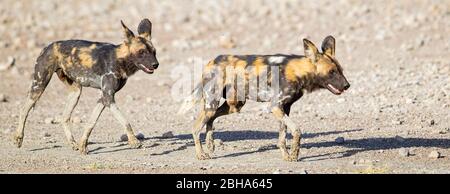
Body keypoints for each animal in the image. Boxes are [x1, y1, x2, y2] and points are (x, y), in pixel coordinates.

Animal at [13, 18, 160, 155]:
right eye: (141, 52)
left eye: (154, 52)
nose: (156, 64)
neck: (120, 60)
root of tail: (48, 46)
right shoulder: (108, 98)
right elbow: (125, 121)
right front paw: (134, 141)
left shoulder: (103, 98)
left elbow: (91, 123)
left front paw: (83, 145)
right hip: (39, 85)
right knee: (23, 110)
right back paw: (18, 138)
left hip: (76, 92)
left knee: (64, 117)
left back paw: (73, 143)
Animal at [179, 36, 352, 161]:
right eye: (331, 72)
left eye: (341, 70)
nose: (347, 85)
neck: (298, 71)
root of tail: (211, 61)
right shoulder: (275, 106)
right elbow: (296, 130)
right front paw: (294, 153)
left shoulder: (285, 108)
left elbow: (282, 137)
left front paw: (287, 156)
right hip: (213, 103)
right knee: (196, 128)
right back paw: (201, 155)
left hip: (234, 105)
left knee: (211, 119)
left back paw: (210, 144)